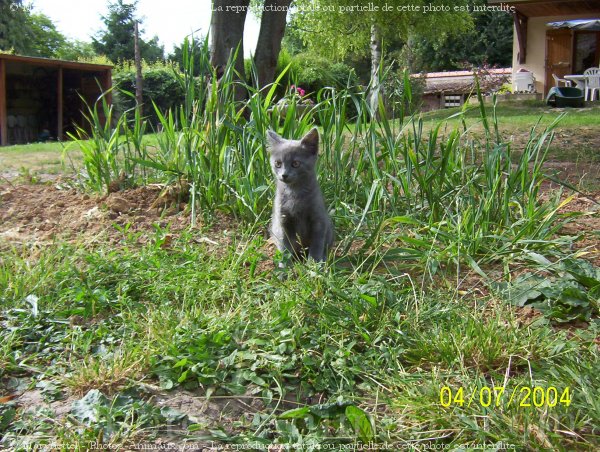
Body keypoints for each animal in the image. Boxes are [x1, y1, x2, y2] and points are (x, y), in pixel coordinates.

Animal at [266, 127, 332, 262]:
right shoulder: (283, 220)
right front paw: (284, 264)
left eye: (295, 163)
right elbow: (285, 246)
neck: (294, 193)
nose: (284, 175)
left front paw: (314, 263)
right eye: (278, 163)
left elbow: (317, 244)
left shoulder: (318, 219)